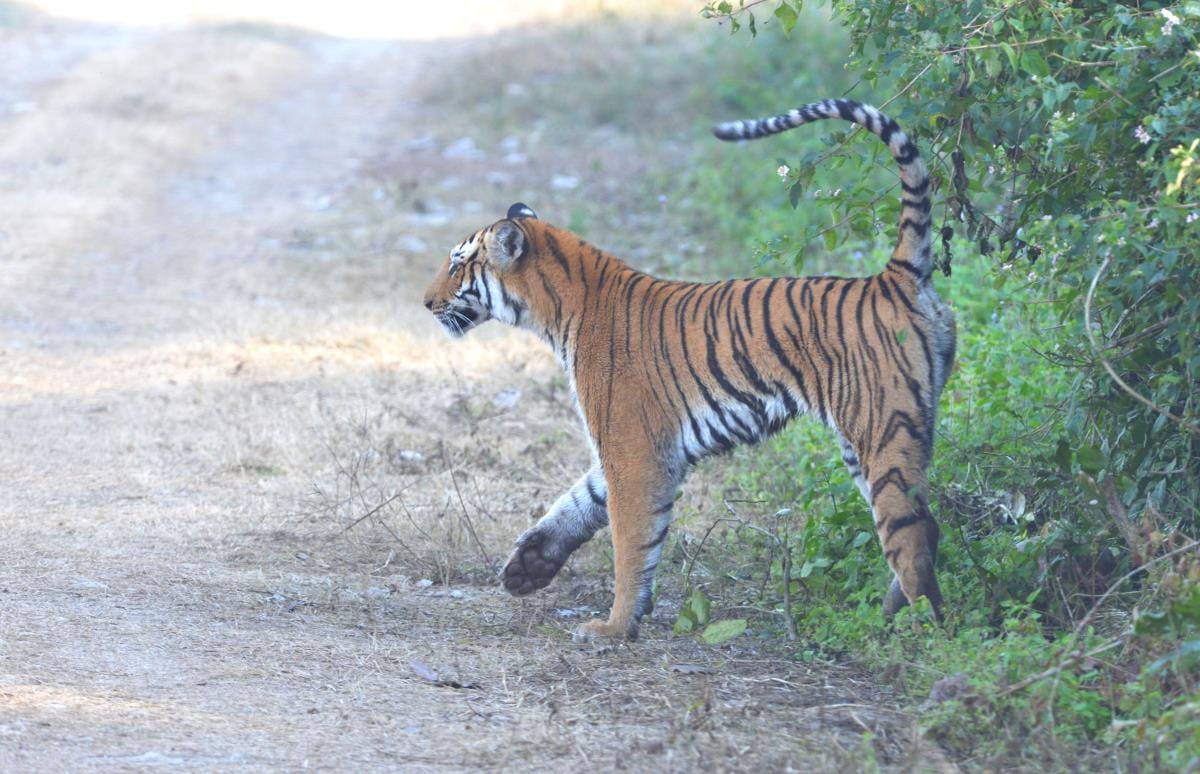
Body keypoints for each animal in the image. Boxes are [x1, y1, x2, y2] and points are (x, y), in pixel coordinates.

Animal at [423, 98, 956, 642]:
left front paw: (614, 626)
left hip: (882, 431)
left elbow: (630, 541)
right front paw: (529, 565)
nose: (425, 302)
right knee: (925, 525)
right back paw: (891, 615)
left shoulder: (632, 448)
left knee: (913, 535)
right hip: (869, 440)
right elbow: (581, 500)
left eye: (457, 264)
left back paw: (920, 632)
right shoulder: (646, 446)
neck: (558, 309)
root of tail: (893, 276)